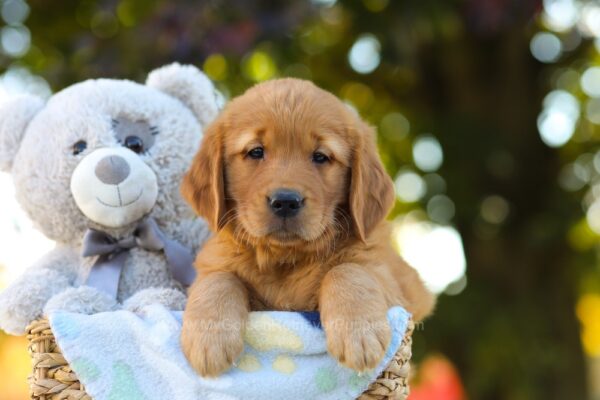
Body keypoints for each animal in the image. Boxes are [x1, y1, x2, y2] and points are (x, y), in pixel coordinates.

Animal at [180, 79, 434, 378]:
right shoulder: (215, 262)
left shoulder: (395, 283)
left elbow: (347, 269)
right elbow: (219, 279)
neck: (286, 259)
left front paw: (358, 332)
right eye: (256, 152)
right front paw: (208, 337)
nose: (285, 201)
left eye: (321, 157)